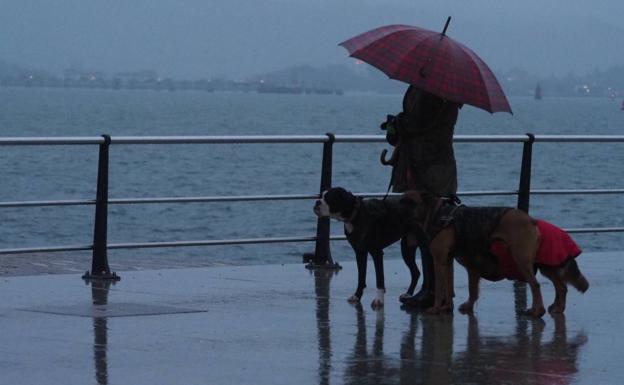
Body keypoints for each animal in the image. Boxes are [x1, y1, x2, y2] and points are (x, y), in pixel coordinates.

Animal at [408, 190, 588, 316]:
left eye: (409, 202)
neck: (442, 215)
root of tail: (531, 221)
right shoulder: (453, 262)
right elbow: (461, 287)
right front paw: (453, 307)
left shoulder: (448, 262)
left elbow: (449, 288)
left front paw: (439, 308)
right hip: (546, 266)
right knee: (561, 286)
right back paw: (556, 308)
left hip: (523, 260)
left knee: (536, 285)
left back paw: (537, 311)